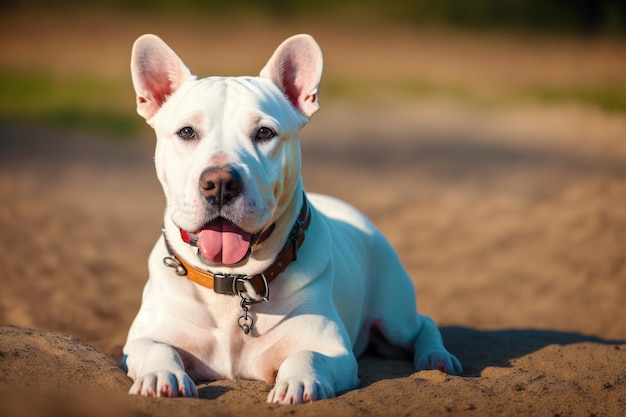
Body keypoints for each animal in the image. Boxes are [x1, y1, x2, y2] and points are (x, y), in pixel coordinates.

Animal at [120, 32, 458, 404]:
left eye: (265, 133)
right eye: (186, 132)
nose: (220, 183)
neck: (233, 282)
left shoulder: (333, 349)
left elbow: (308, 354)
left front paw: (299, 381)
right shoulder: (142, 339)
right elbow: (156, 348)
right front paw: (160, 376)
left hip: (394, 315)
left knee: (423, 323)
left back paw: (437, 356)